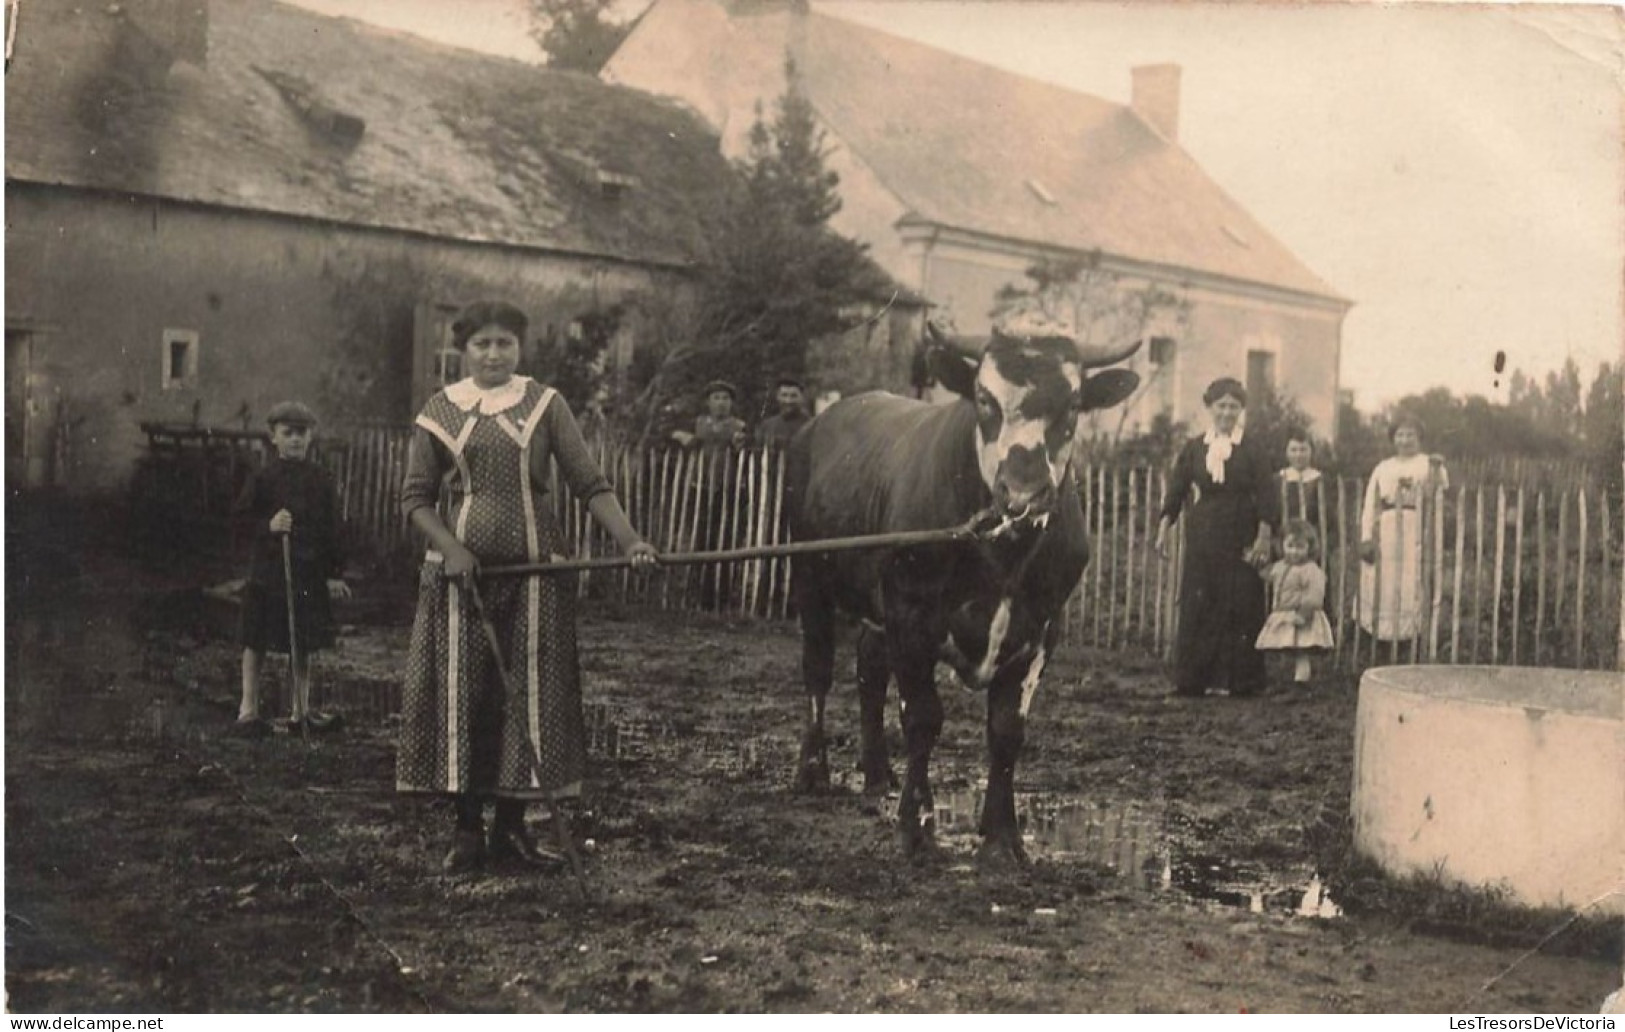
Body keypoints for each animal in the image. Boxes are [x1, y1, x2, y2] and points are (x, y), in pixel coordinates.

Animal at [780, 321, 1137, 864]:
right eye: (984, 399)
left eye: (1075, 403)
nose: (1024, 492)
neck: (1002, 553)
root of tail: (824, 419)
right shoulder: (910, 615)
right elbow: (923, 718)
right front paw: (917, 827)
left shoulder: (1042, 630)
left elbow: (1007, 729)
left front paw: (1004, 836)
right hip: (811, 579)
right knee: (817, 670)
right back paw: (813, 770)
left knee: (868, 669)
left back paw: (877, 774)